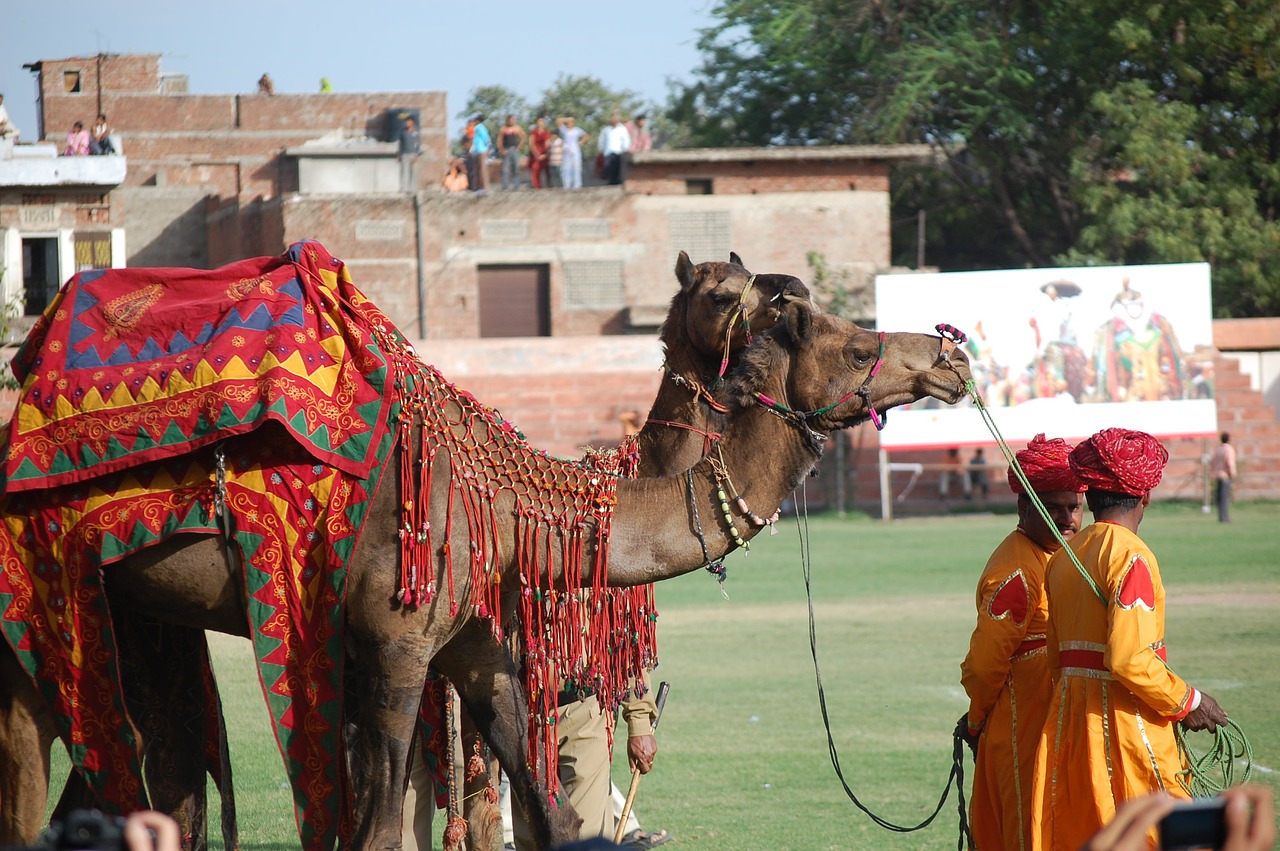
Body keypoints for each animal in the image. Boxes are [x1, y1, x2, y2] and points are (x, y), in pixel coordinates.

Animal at [0, 261, 962, 849]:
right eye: (856, 344)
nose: (949, 353)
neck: (502, 496)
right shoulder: (393, 642)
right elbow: (380, 830)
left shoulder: (470, 642)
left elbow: (550, 810)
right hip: (29, 612)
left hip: (132, 614)